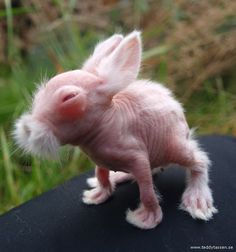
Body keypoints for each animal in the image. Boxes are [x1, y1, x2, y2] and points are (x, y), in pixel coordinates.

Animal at [14, 31, 218, 228]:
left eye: (69, 98)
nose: (27, 129)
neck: (108, 124)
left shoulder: (138, 157)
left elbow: (146, 191)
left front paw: (146, 219)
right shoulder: (101, 161)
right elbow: (101, 175)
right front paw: (96, 196)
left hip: (175, 147)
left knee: (200, 161)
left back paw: (197, 201)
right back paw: (119, 175)